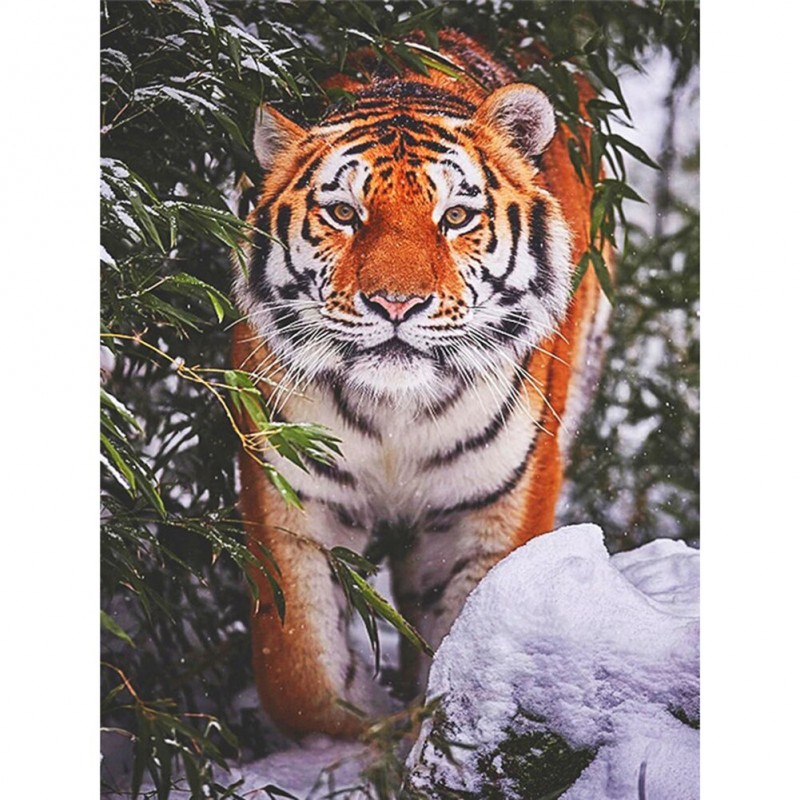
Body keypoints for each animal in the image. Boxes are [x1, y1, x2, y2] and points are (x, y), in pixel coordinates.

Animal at [231, 29, 611, 738]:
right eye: (343, 213)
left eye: (456, 216)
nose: (396, 303)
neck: (395, 412)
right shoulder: (294, 493)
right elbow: (298, 673)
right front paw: (367, 722)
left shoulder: (491, 505)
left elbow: (467, 641)